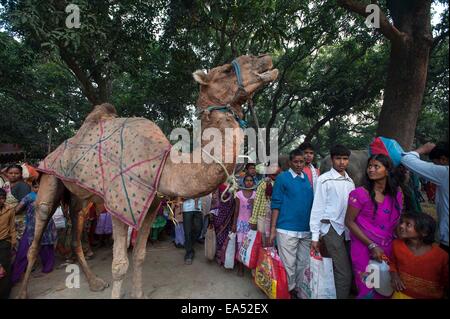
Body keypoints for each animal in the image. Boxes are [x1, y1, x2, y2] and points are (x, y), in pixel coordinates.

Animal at [16, 54, 278, 300]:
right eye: (225, 70)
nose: (265, 59)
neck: (166, 166)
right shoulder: (119, 206)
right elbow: (119, 265)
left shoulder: (150, 205)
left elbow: (140, 256)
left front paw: (138, 293)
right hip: (50, 177)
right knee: (37, 231)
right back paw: (23, 292)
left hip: (80, 196)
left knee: (76, 229)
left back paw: (95, 283)